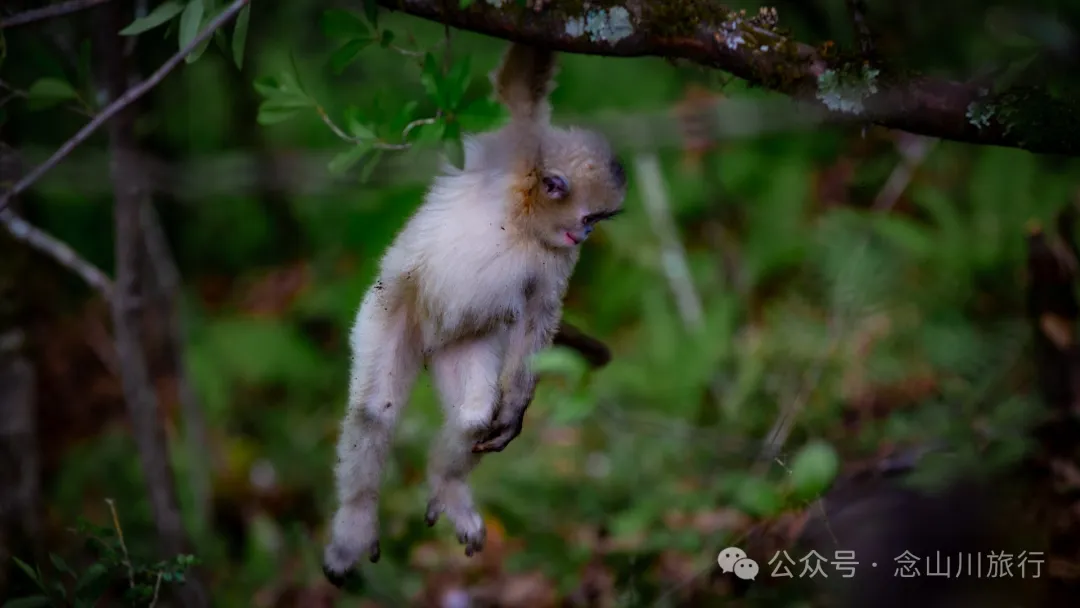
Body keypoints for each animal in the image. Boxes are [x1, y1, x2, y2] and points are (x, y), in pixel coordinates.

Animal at [321, 42, 628, 585]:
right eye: (592, 217)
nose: (588, 234)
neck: (524, 216)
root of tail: (428, 343)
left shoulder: (556, 255)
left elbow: (539, 314)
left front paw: (514, 408)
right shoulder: (507, 147)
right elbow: (519, 82)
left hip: (461, 340)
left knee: (471, 414)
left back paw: (449, 487)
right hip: (392, 310)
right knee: (375, 412)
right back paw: (354, 527)